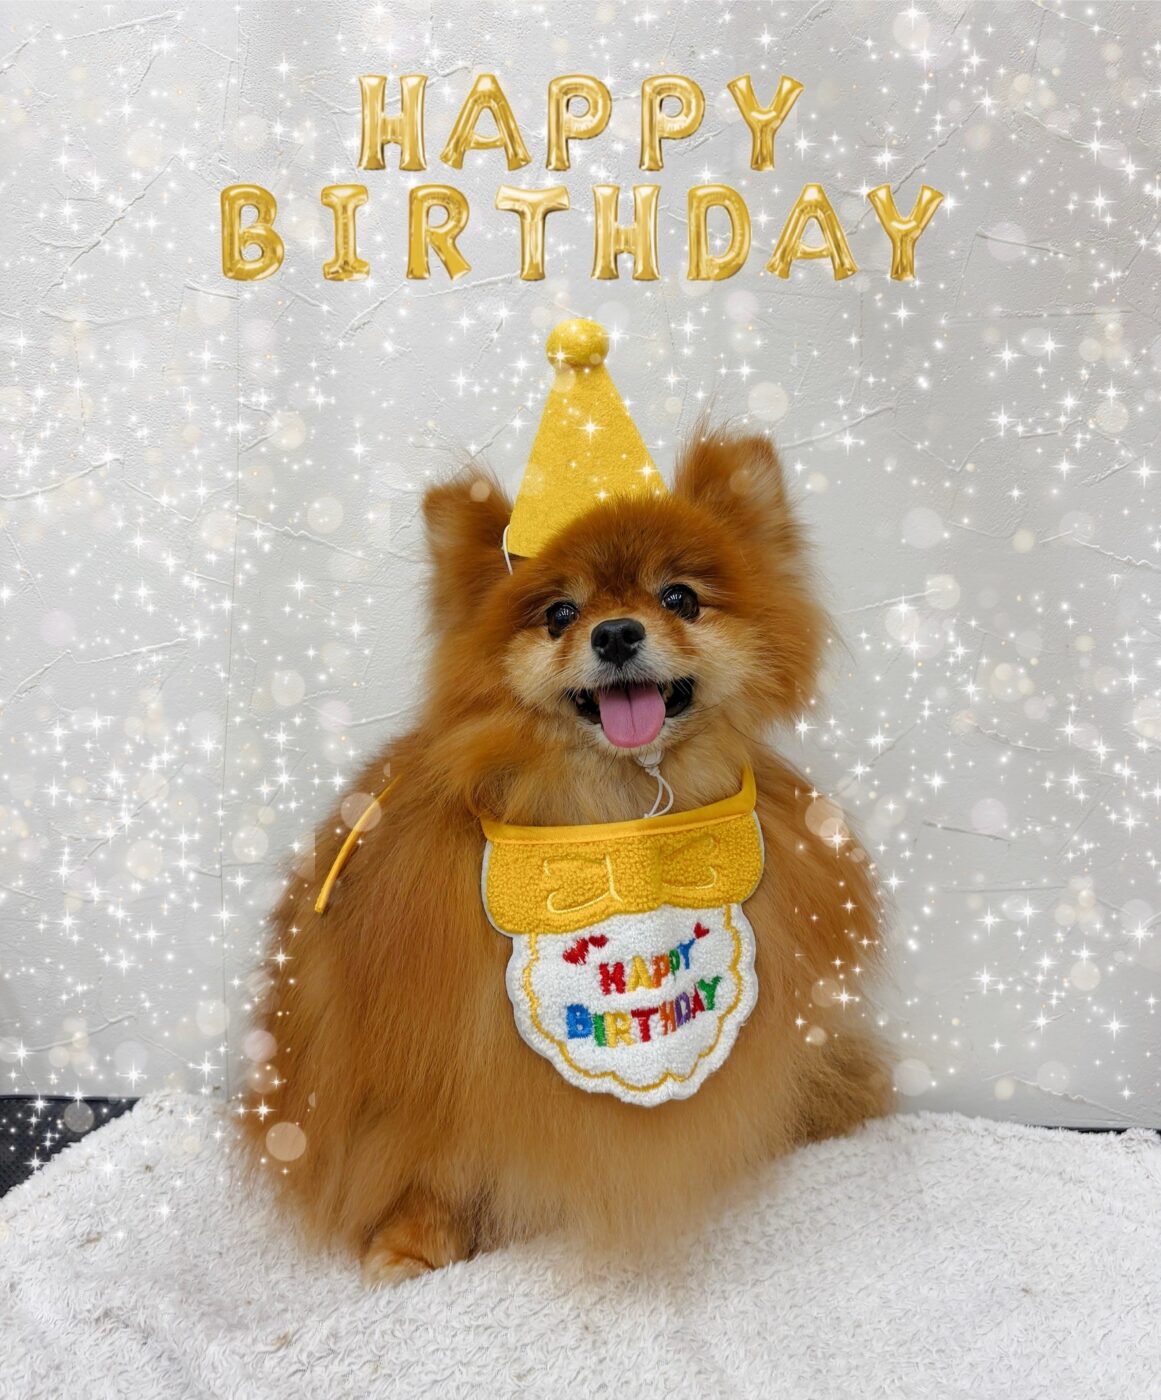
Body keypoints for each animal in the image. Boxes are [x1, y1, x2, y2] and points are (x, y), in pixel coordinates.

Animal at [239, 429, 890, 1285]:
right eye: (558, 614)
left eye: (680, 598)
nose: (614, 634)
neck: (617, 822)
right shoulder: (445, 1044)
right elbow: (440, 1151)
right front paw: (415, 1240)